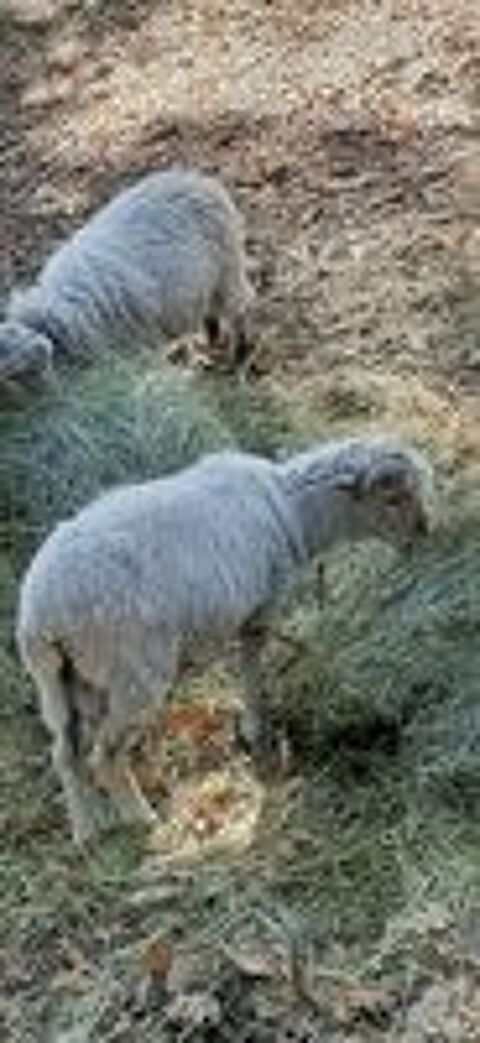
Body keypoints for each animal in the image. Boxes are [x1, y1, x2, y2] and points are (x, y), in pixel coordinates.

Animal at [0, 169, 253, 392]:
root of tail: (195, 178)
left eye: (15, 374)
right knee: (210, 310)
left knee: (239, 308)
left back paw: (239, 352)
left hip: (227, 269)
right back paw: (210, 339)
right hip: (207, 280)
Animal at [17, 436, 432, 844]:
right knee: (104, 755)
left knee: (65, 752)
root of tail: (42, 615)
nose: (423, 534)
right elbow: (251, 669)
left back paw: (87, 829)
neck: (294, 510)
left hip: (64, 678)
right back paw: (141, 817)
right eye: (393, 498)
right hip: (133, 670)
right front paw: (255, 729)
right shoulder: (259, 612)